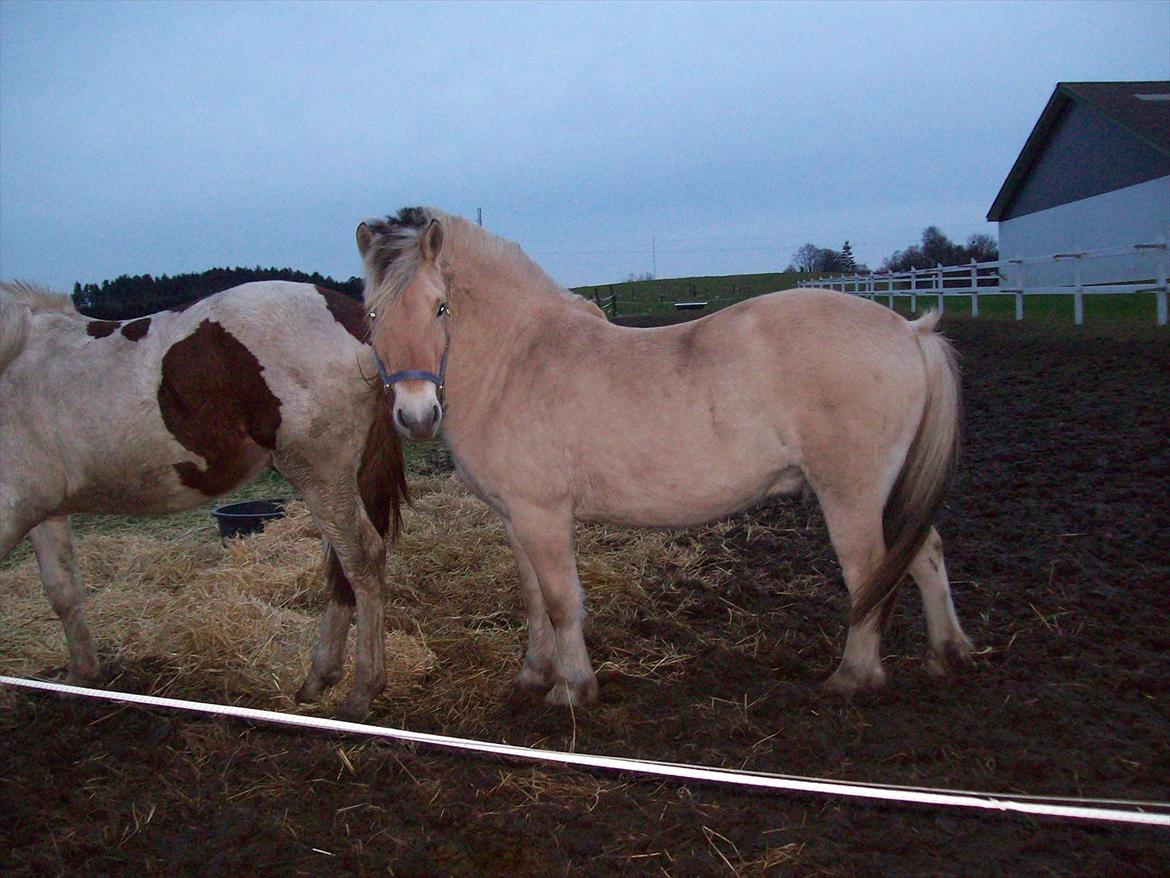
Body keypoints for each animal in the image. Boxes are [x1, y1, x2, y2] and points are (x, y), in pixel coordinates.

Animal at [0, 283, 409, 721]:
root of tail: (353, 316)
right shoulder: (45, 512)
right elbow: (63, 590)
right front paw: (81, 677)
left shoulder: (12, 511)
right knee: (341, 565)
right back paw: (319, 678)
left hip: (320, 473)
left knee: (361, 560)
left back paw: (362, 690)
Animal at [360, 209, 973, 711]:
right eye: (371, 315)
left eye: (440, 307)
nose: (417, 415)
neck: (518, 360)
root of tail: (909, 330)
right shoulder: (515, 518)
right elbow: (533, 599)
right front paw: (533, 675)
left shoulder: (543, 516)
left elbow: (561, 601)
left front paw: (572, 689)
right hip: (886, 492)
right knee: (923, 551)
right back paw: (947, 655)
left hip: (851, 494)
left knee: (869, 573)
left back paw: (854, 677)